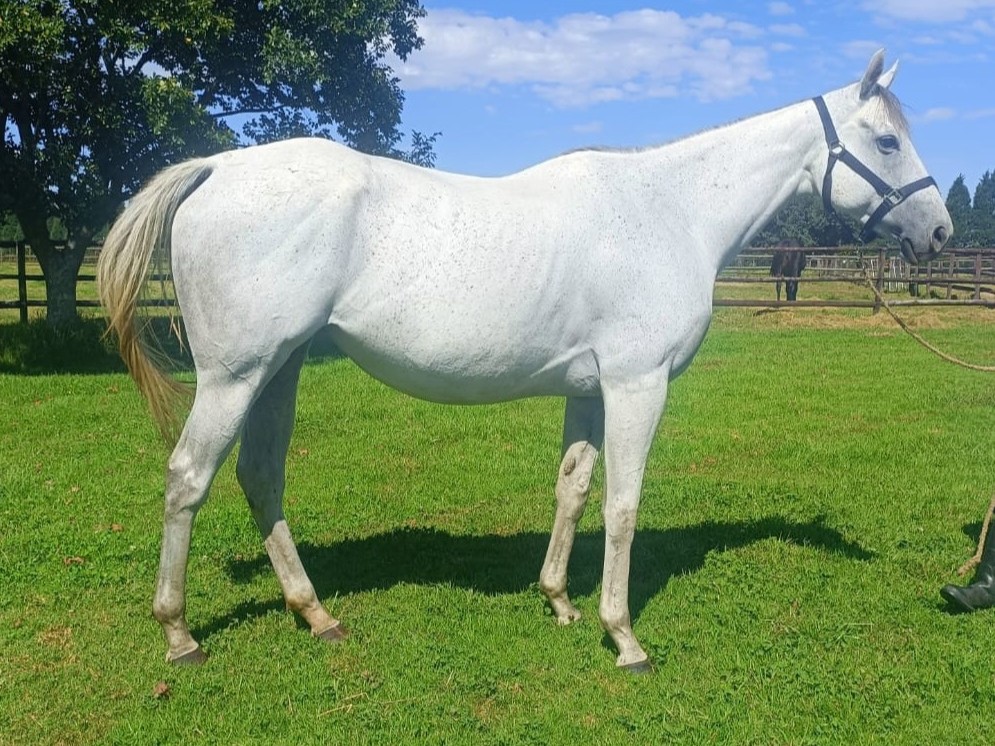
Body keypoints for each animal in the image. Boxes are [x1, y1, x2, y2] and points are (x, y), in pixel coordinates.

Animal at [97, 51, 951, 672]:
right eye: (884, 141)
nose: (939, 231)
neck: (672, 211)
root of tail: (217, 167)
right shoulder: (636, 385)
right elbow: (621, 504)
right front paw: (623, 637)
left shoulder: (590, 390)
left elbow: (572, 488)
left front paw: (559, 602)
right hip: (235, 376)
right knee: (189, 479)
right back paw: (179, 634)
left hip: (281, 367)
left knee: (260, 476)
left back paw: (317, 615)